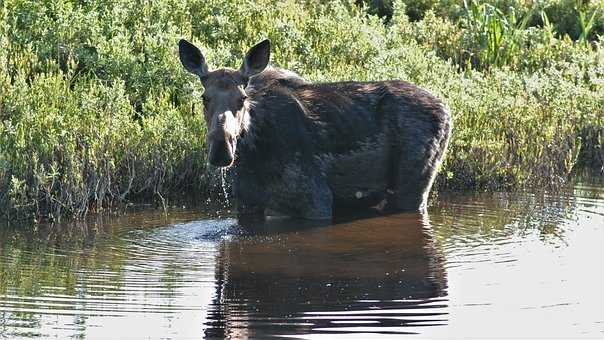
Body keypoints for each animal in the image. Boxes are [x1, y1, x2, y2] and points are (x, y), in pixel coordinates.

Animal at [179, 38, 452, 219]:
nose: (221, 149)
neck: (253, 156)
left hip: (414, 182)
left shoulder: (316, 198)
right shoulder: (247, 203)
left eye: (242, 98)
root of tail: (446, 108)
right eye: (204, 97)